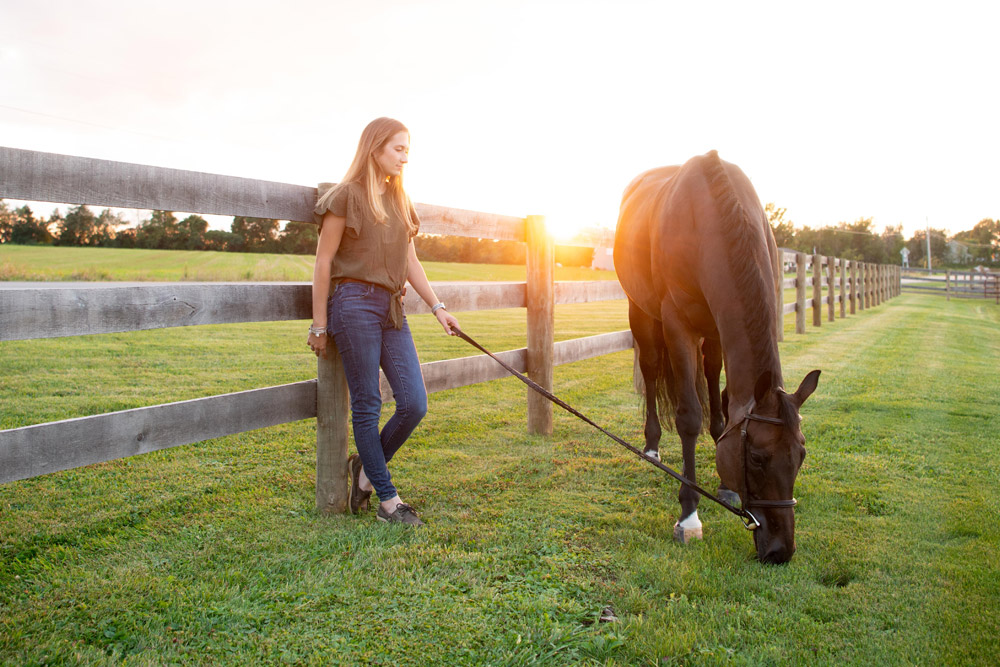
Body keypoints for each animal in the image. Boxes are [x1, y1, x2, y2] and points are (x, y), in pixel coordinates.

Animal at [616, 151, 820, 564]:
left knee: (710, 375)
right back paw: (651, 447)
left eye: (802, 455)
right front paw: (689, 516)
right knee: (651, 370)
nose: (781, 550)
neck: (710, 218)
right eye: (756, 458)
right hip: (642, 314)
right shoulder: (677, 326)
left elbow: (722, 398)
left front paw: (725, 482)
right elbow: (689, 417)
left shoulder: (717, 328)